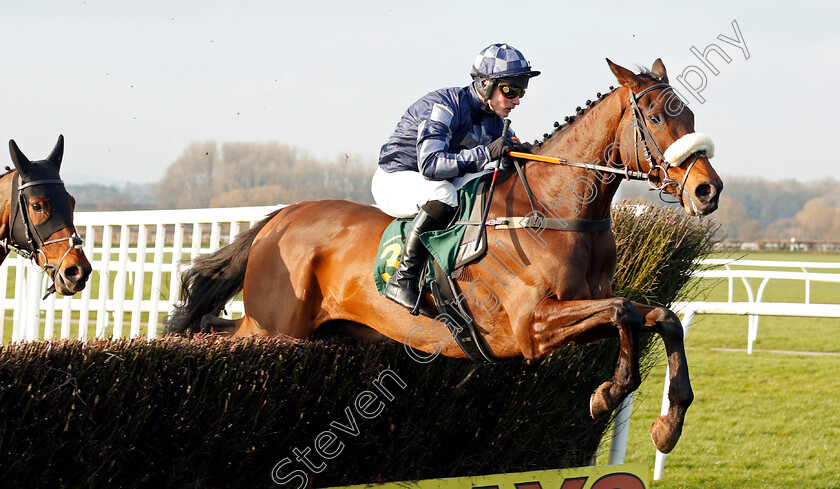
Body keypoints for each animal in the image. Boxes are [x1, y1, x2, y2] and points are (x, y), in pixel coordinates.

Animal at [166, 60, 720, 454]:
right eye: (655, 117)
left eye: (691, 115)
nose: (707, 190)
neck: (553, 210)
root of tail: (283, 216)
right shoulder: (531, 326)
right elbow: (624, 311)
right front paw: (610, 391)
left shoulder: (575, 312)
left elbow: (658, 316)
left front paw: (667, 424)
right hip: (274, 327)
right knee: (215, 334)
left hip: (316, 331)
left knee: (214, 328)